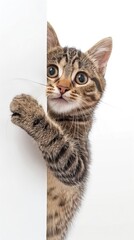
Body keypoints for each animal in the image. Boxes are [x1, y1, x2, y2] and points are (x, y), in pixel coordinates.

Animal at [9, 22, 112, 240]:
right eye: (51, 70)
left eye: (81, 78)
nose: (63, 88)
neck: (58, 117)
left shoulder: (78, 165)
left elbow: (58, 143)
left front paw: (31, 112)